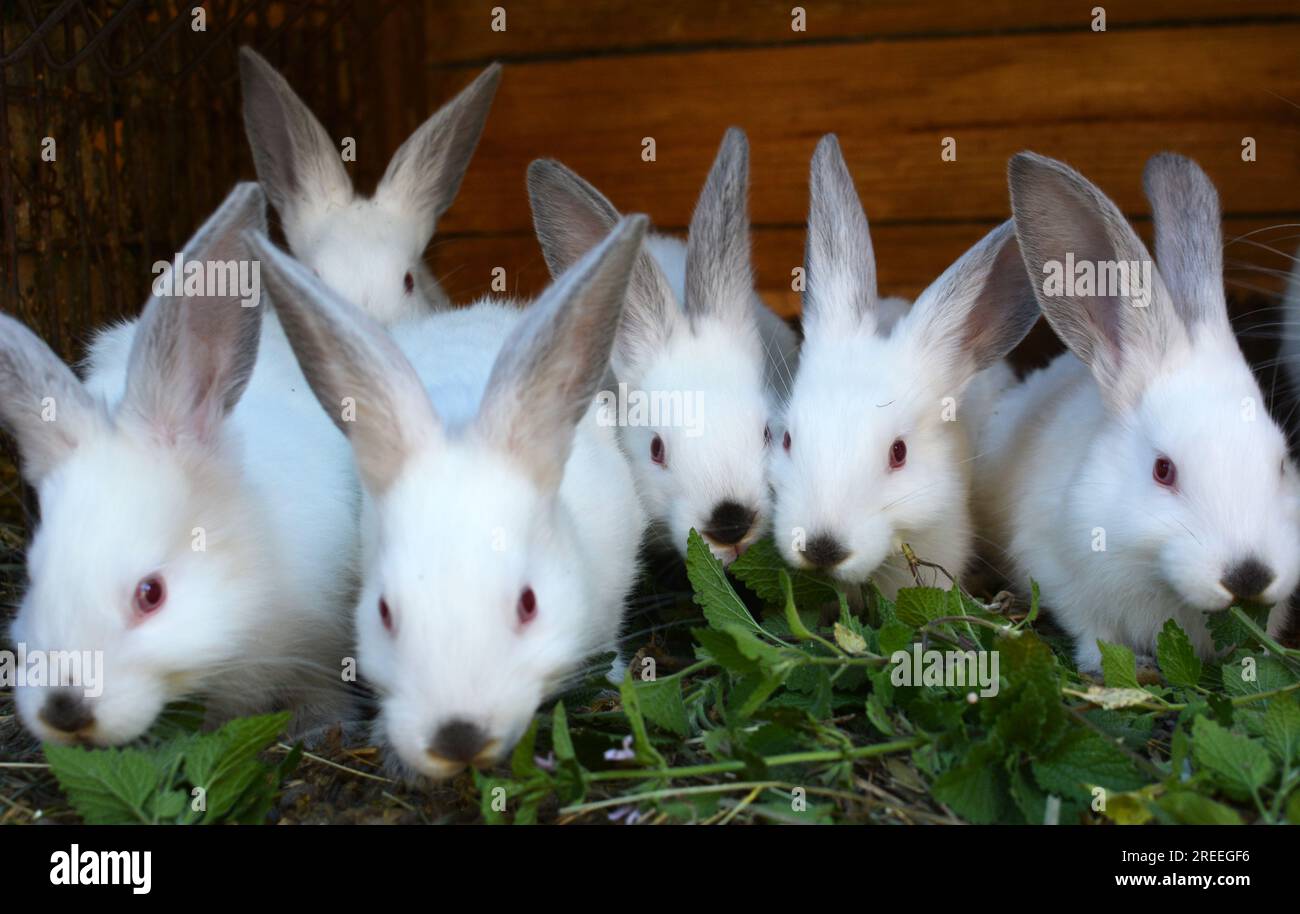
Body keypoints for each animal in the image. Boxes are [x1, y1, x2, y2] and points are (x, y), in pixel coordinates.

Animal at [1, 184, 360, 747]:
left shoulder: (322, 643)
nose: (65, 709)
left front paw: (318, 731)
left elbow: (321, 692)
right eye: (34, 576)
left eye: (152, 594)